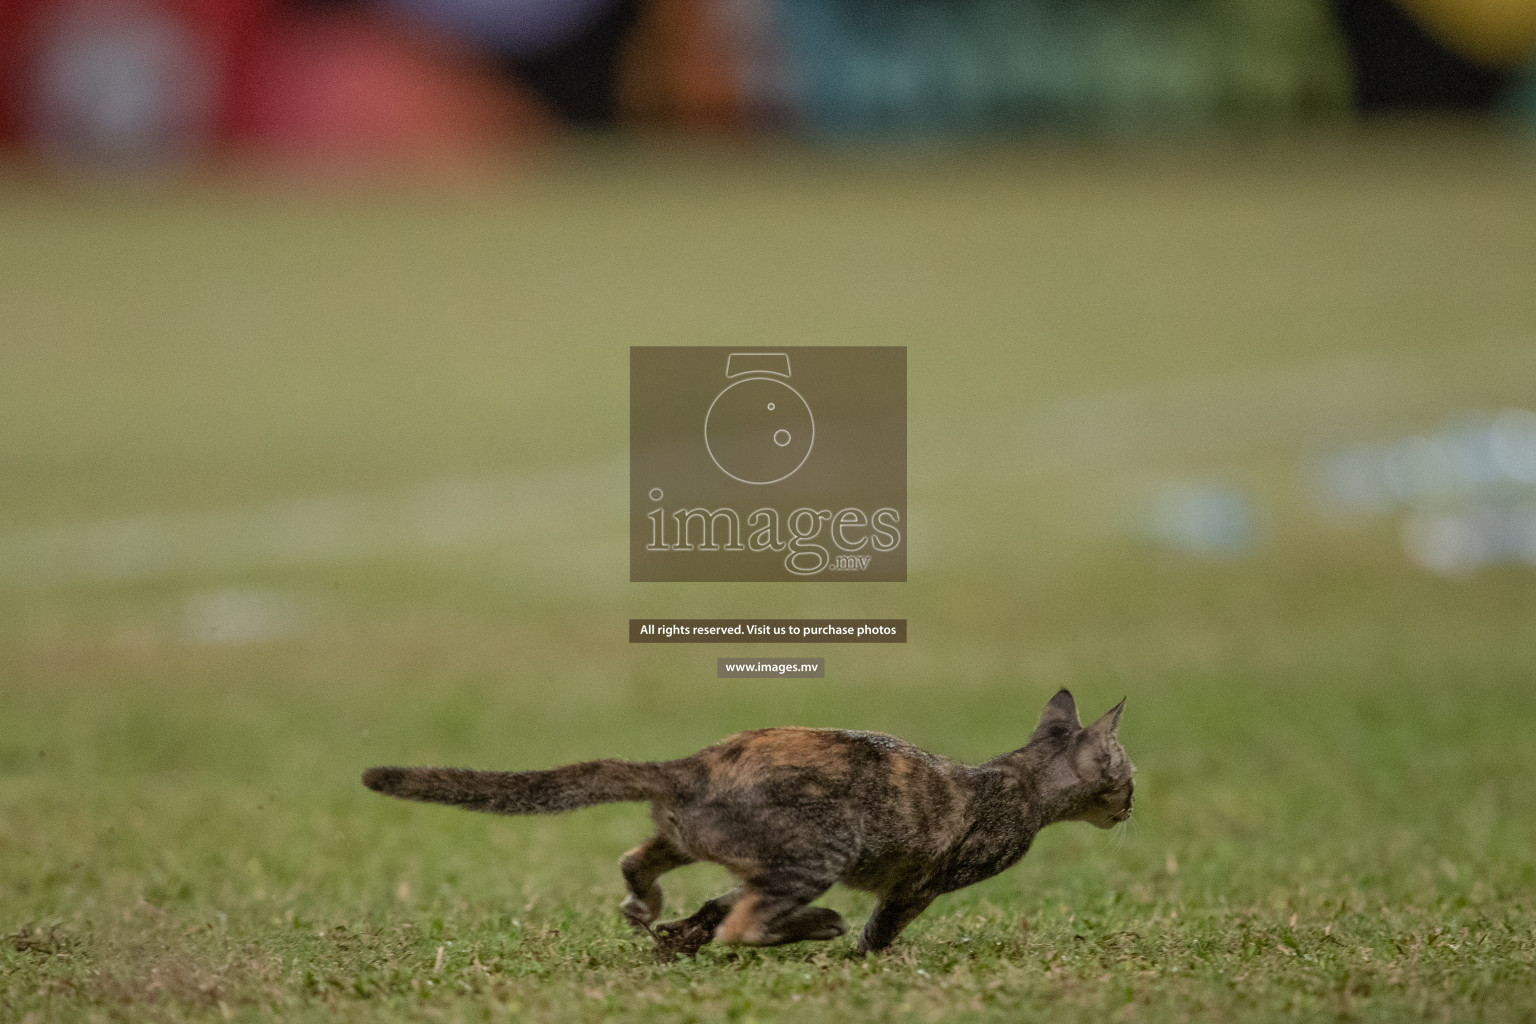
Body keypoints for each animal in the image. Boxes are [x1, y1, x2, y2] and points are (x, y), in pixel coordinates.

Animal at [359, 687, 1130, 964]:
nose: (1131, 807)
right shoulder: (922, 882)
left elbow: (717, 902)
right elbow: (884, 923)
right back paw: (819, 927)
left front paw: (682, 934)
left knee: (642, 860)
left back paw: (651, 911)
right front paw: (866, 956)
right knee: (749, 925)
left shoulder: (754, 868)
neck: (1018, 780)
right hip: (818, 850)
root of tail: (691, 765)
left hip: (704, 837)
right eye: (1125, 776)